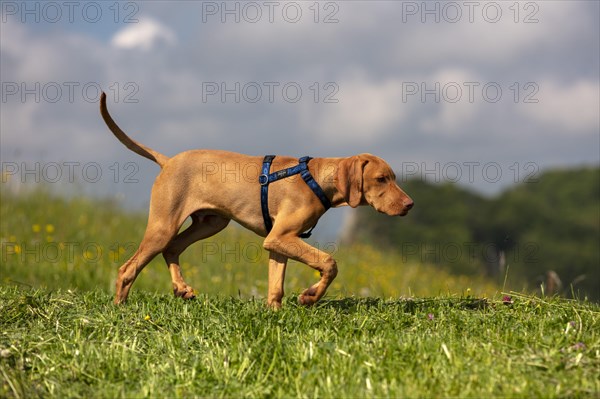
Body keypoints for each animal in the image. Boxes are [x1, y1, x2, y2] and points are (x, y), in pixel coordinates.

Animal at [101, 92, 414, 308]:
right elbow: (329, 262)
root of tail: (168, 161)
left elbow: (276, 286)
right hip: (164, 225)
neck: (314, 178)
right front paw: (310, 296)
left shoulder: (280, 241)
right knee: (129, 268)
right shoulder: (280, 237)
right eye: (381, 179)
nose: (410, 205)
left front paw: (274, 313)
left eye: (393, 177)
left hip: (211, 223)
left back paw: (181, 288)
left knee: (172, 248)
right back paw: (120, 307)